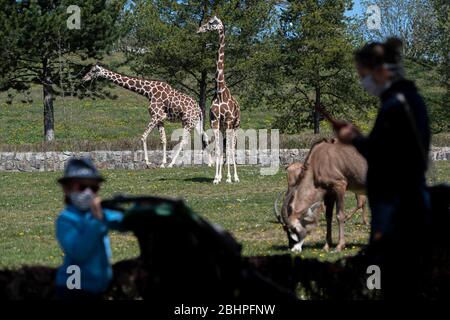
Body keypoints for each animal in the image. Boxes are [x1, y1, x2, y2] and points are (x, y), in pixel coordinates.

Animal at [81, 63, 212, 168]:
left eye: (93, 71)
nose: (84, 78)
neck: (148, 92)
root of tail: (199, 109)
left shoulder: (156, 116)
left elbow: (143, 136)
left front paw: (148, 163)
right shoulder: (160, 119)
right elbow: (163, 140)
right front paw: (162, 163)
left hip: (188, 122)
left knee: (184, 141)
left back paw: (172, 164)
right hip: (195, 122)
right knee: (204, 136)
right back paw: (210, 163)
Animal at [197, 16, 239, 184]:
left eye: (212, 22)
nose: (199, 29)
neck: (220, 91)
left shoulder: (228, 121)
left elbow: (228, 149)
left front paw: (228, 178)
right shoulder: (215, 122)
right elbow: (218, 150)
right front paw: (216, 178)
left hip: (235, 125)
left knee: (233, 148)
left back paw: (235, 177)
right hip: (223, 126)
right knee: (224, 147)